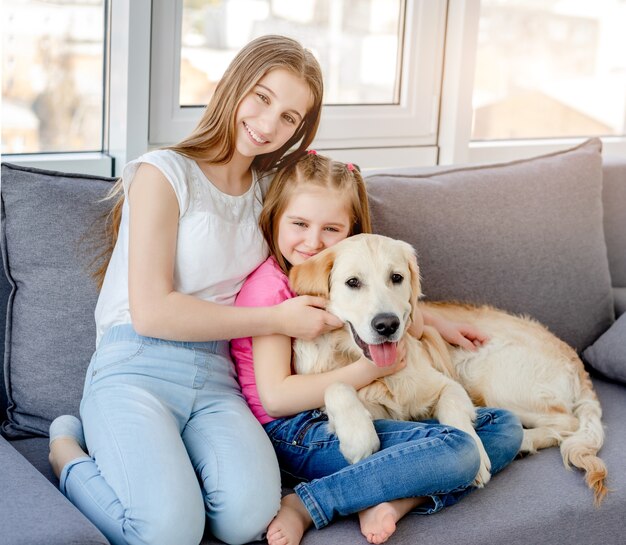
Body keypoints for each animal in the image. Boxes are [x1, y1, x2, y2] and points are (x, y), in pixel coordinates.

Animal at [290, 232, 608, 504]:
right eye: (353, 282)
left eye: (396, 278)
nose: (387, 325)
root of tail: (575, 359)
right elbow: (336, 385)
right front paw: (358, 436)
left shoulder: (448, 385)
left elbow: (455, 412)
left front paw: (477, 456)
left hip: (490, 377)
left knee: (566, 422)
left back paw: (524, 441)